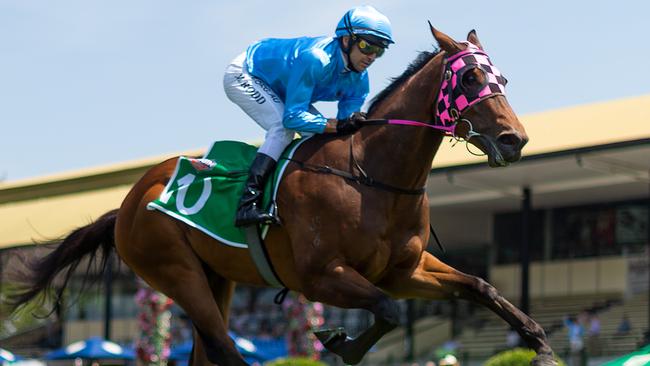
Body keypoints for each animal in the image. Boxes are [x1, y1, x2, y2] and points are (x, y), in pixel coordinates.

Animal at [8, 26, 556, 366]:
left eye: (502, 77)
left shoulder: (405, 270)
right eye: (470, 77)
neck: (373, 178)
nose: (515, 140)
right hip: (174, 271)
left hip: (216, 279)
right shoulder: (320, 276)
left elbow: (480, 287)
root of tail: (125, 202)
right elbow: (385, 311)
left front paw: (540, 345)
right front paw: (339, 341)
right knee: (224, 350)